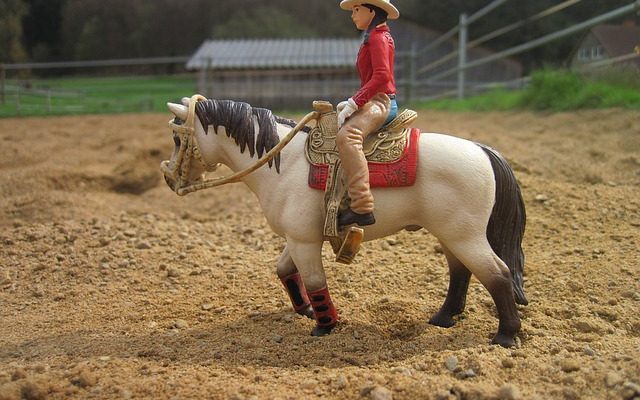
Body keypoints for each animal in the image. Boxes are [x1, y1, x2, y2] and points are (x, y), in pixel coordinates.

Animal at [162, 97, 528, 346]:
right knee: (461, 272)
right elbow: (285, 271)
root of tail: (482, 150)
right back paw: (444, 317)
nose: (169, 179)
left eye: (178, 139)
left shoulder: (304, 241)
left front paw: (325, 325)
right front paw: (306, 310)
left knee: (498, 274)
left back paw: (506, 336)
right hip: (451, 235)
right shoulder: (299, 238)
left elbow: (315, 282)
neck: (284, 162)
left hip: (465, 236)